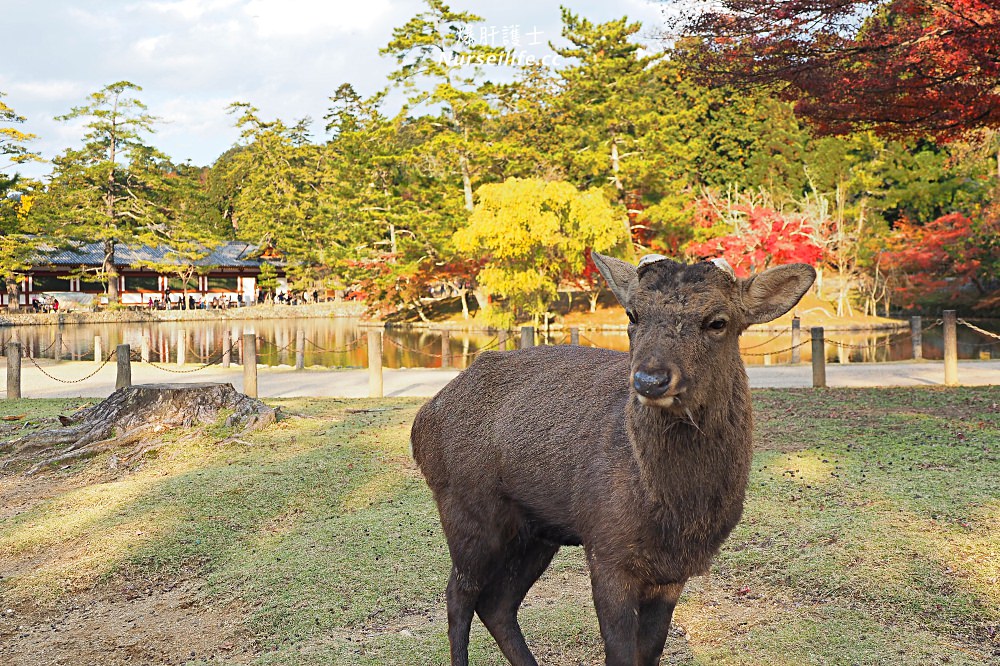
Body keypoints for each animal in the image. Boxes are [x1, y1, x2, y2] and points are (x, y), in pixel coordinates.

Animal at [410, 252, 816, 660]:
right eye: (633, 314)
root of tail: (422, 422)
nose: (650, 380)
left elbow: (649, 651)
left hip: (537, 531)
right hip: (467, 510)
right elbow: (620, 653)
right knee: (458, 595)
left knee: (497, 603)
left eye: (718, 321)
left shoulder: (674, 573)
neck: (677, 515)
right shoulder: (607, 549)